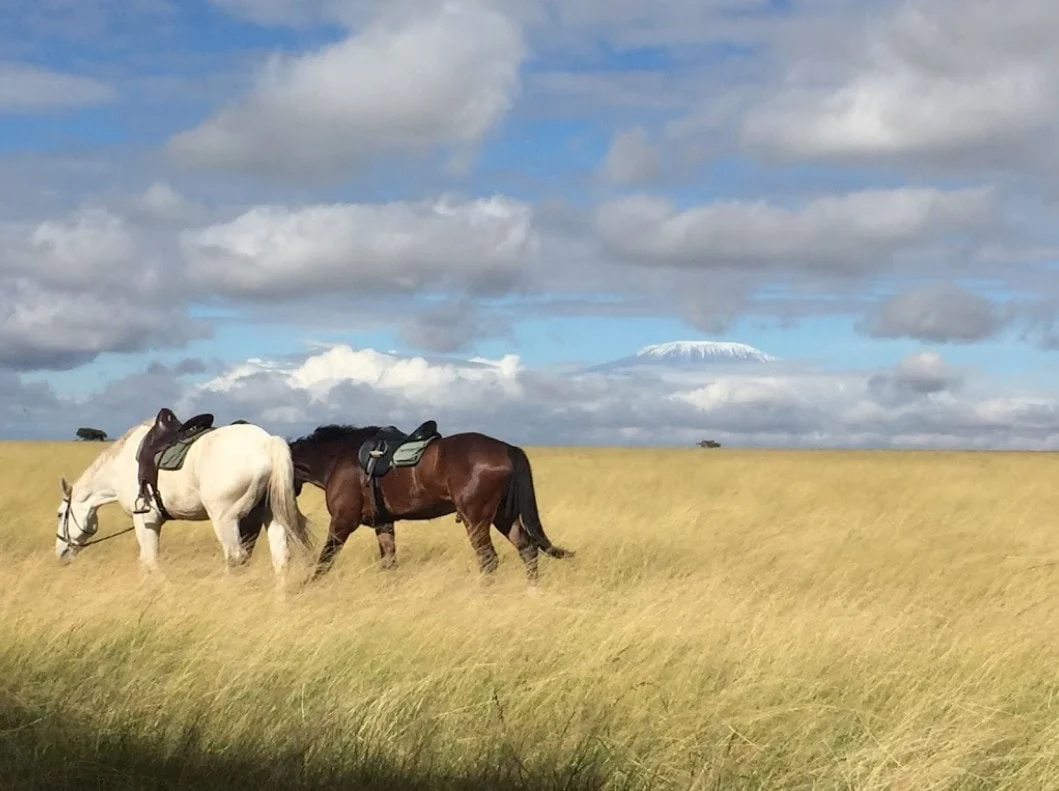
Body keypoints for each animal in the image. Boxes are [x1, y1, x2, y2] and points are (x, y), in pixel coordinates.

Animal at [55, 415, 313, 581]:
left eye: (59, 514)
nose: (60, 553)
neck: (121, 465)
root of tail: (267, 442)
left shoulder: (145, 521)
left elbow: (149, 561)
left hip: (226, 520)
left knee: (235, 558)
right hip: (272, 516)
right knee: (281, 560)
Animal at [283, 423, 574, 584]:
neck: (338, 459)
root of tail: (507, 448)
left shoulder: (342, 522)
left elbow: (324, 561)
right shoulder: (383, 524)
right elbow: (390, 564)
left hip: (476, 520)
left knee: (489, 560)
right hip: (504, 516)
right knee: (528, 550)